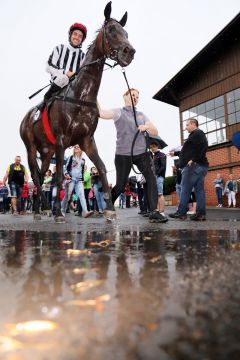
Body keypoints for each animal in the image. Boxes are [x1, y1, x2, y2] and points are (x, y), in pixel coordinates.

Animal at [19, 2, 135, 222]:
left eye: (126, 32)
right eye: (111, 30)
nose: (129, 52)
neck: (80, 95)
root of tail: (26, 117)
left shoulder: (87, 140)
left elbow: (102, 168)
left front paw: (110, 209)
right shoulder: (62, 140)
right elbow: (58, 177)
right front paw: (58, 212)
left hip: (46, 151)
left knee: (41, 173)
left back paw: (39, 209)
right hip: (30, 147)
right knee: (37, 177)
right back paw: (45, 208)